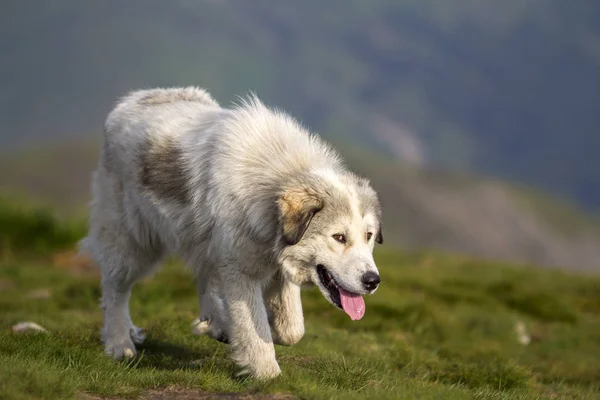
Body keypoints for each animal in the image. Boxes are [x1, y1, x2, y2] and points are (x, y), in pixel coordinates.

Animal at [82, 86, 384, 378]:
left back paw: (214, 324)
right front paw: (264, 370)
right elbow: (256, 332)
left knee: (205, 276)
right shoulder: (241, 272)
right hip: (132, 242)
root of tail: (132, 99)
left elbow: (292, 329)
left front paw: (271, 332)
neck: (271, 186)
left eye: (368, 236)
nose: (372, 281)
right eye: (339, 237)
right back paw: (119, 342)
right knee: (115, 288)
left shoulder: (275, 266)